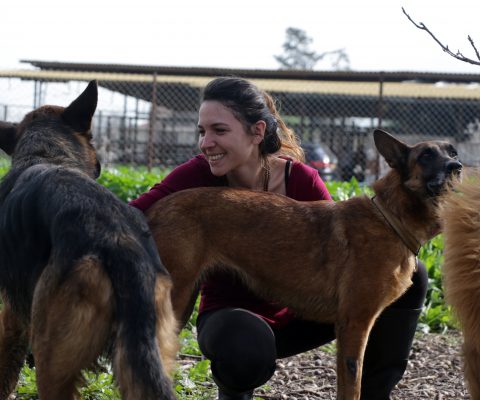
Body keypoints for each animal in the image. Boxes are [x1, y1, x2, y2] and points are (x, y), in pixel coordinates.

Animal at [146, 130, 462, 398]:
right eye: (426, 155)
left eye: (452, 151)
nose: (456, 167)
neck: (389, 217)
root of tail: (155, 210)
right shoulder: (355, 325)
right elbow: (352, 384)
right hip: (176, 299)